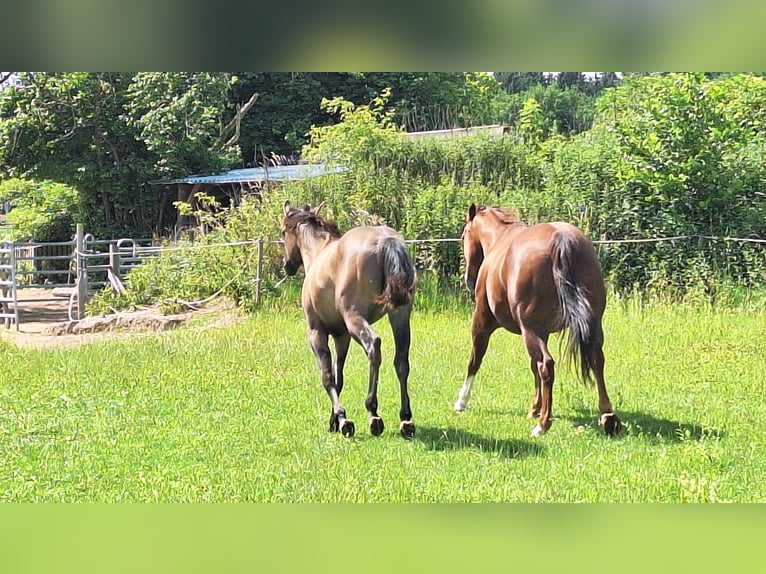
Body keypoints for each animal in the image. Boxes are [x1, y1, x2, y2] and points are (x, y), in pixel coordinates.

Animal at [280, 200, 417, 438]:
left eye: (282, 232)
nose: (287, 264)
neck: (319, 252)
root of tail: (385, 239)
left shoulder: (317, 333)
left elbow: (327, 376)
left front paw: (342, 419)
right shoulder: (341, 336)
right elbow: (339, 377)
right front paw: (334, 420)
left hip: (355, 319)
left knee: (374, 346)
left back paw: (373, 412)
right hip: (399, 317)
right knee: (401, 360)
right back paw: (406, 419)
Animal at [453, 204, 621, 437]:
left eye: (464, 235)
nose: (469, 281)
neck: (500, 239)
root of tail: (561, 239)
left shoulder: (482, 324)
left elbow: (474, 361)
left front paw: (461, 401)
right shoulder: (544, 332)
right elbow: (533, 367)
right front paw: (535, 408)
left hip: (529, 331)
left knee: (547, 366)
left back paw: (543, 425)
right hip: (590, 326)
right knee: (596, 360)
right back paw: (608, 417)